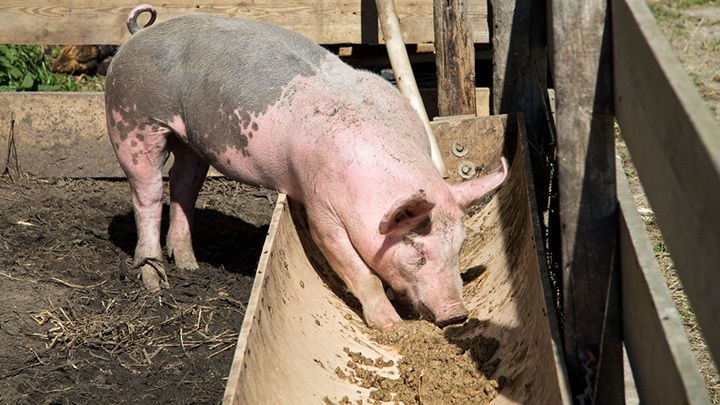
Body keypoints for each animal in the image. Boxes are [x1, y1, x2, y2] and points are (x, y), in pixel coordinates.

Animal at [107, 3, 506, 332]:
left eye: (459, 246)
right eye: (418, 251)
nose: (457, 314)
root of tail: (137, 35)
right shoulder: (321, 210)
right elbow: (359, 272)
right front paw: (392, 327)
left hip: (192, 140)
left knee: (184, 184)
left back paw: (189, 266)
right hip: (132, 119)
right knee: (146, 192)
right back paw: (155, 281)